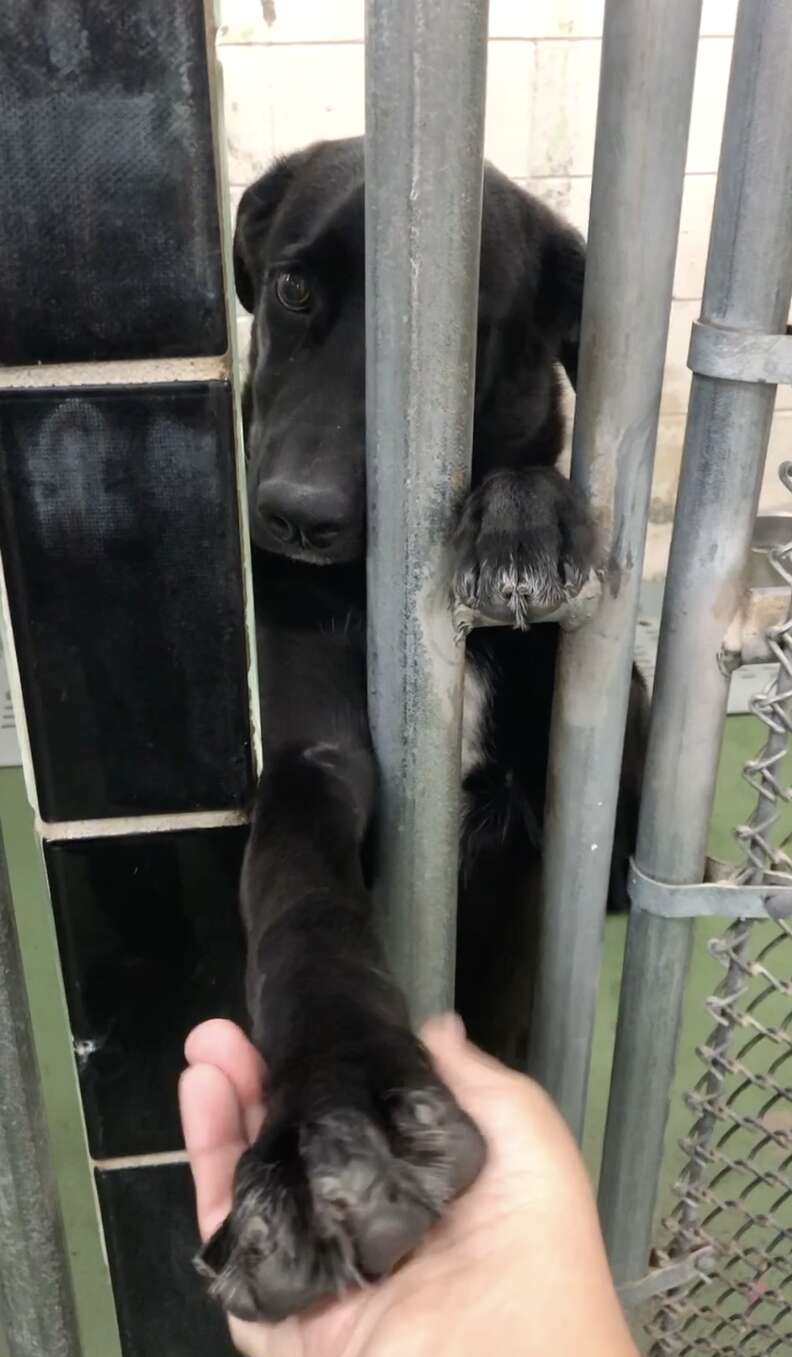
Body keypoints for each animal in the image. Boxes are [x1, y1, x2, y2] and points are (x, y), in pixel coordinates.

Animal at [196, 137, 642, 1324]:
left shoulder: (608, 819)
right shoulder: (317, 765)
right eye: (296, 289)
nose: (295, 515)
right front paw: (328, 1124)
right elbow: (301, 903)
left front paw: (521, 516)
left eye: (465, 335)